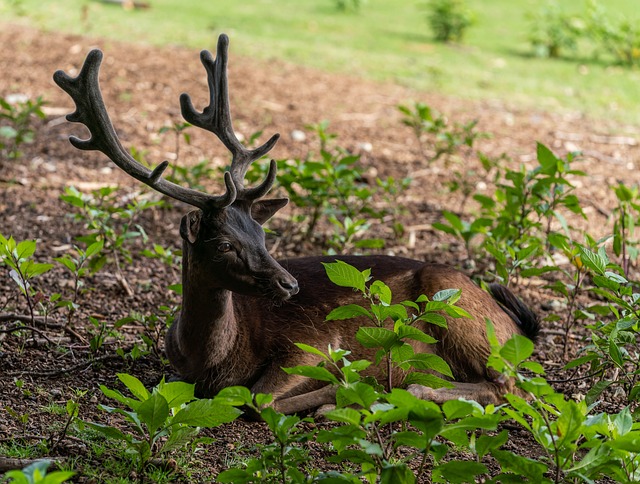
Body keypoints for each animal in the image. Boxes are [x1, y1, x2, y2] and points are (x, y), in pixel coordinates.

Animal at [53, 34, 540, 414]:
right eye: (225, 243)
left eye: (263, 235)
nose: (290, 285)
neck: (210, 362)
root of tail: (518, 329)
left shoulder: (314, 340)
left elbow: (258, 399)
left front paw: (345, 390)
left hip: (462, 311)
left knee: (512, 387)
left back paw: (405, 389)